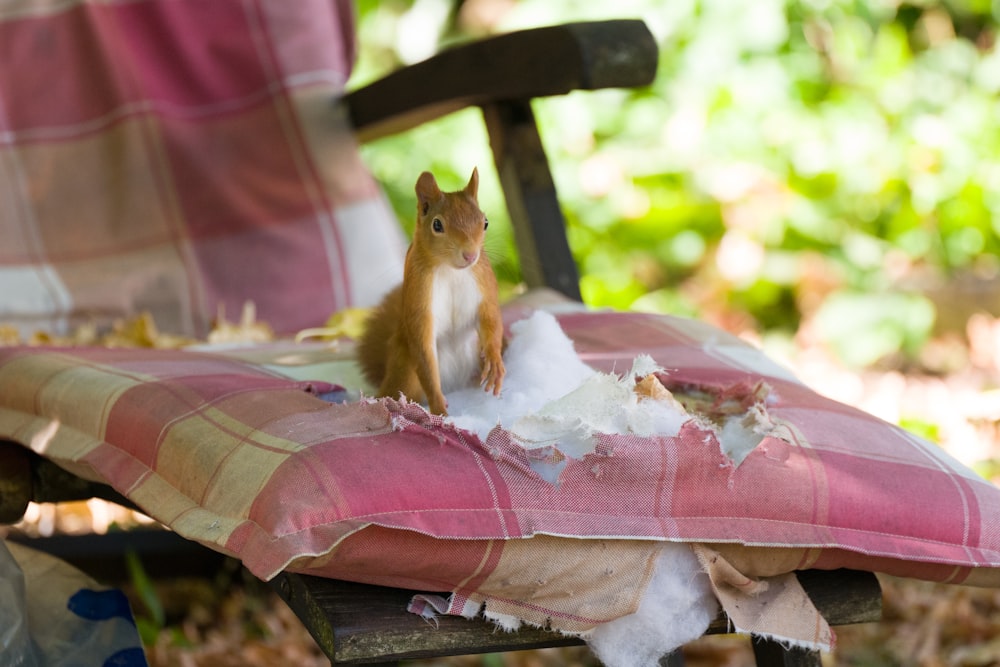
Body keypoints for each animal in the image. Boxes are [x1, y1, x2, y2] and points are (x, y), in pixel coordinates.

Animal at [356, 170, 504, 414]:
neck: (451, 270)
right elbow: (424, 351)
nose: (470, 255)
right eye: (437, 225)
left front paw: (495, 361)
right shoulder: (419, 297)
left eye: (485, 222)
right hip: (406, 373)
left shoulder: (484, 286)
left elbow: (491, 319)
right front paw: (439, 408)